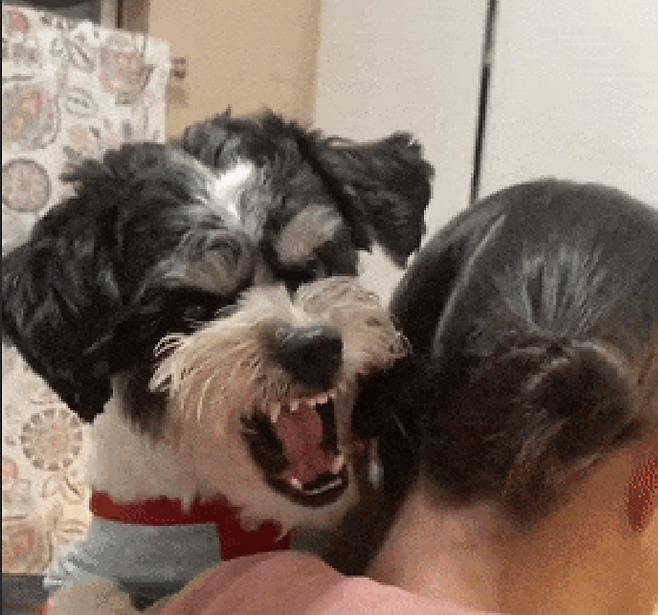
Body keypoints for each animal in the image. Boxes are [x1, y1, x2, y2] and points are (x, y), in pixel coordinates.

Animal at [2, 110, 433, 611]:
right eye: (192, 309)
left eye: (316, 266)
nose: (313, 347)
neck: (231, 515)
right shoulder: (83, 567)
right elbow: (92, 594)